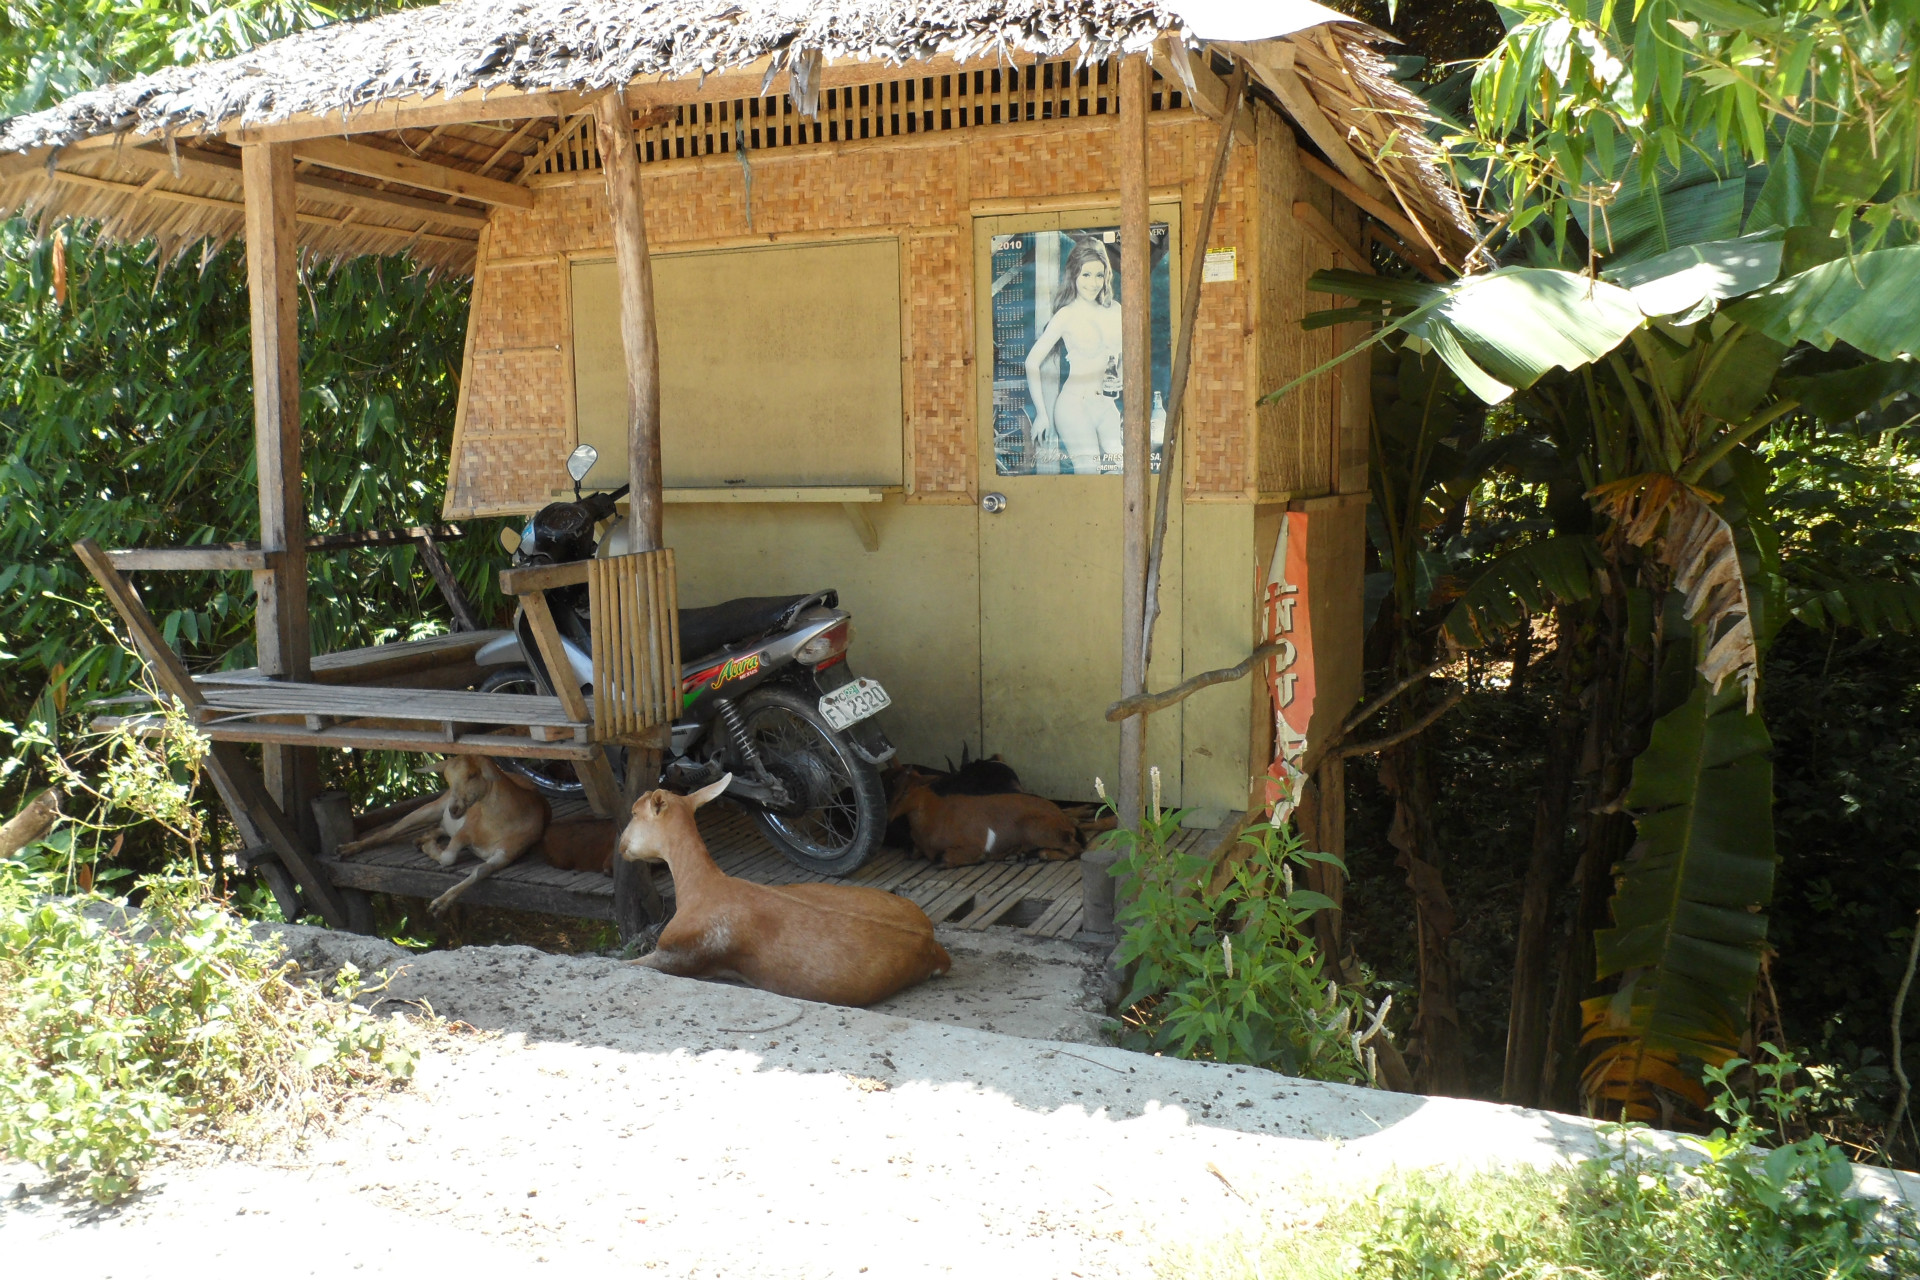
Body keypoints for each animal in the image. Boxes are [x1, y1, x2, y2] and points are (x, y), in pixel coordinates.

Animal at [336, 756, 549, 917]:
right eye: (447, 778)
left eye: (472, 775)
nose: (454, 809)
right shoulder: (465, 832)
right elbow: (448, 858)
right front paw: (430, 851)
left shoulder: (508, 852)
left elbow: (480, 870)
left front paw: (440, 904)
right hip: (432, 807)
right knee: (392, 829)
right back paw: (347, 848)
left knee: (437, 829)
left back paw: (421, 840)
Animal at [618, 775, 948, 1005]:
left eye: (634, 813)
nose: (621, 846)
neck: (700, 886)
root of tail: (932, 946)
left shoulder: (677, 954)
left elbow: (627, 963)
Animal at [883, 771, 1082, 871]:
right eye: (893, 786)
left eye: (906, 791)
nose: (888, 817)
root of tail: (1066, 820)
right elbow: (912, 852)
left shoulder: (972, 845)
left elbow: (942, 859)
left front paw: (979, 859)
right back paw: (1020, 855)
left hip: (1036, 829)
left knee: (1074, 849)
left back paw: (1040, 854)